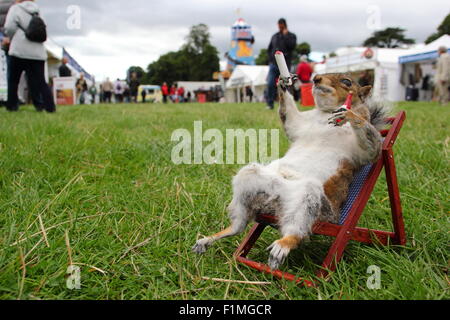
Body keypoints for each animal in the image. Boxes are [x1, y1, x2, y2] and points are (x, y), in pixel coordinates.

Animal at [192, 72, 388, 270]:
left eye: (347, 81)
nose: (316, 78)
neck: (325, 113)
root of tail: (274, 203)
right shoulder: (300, 124)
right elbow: (291, 119)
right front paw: (282, 83)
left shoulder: (360, 150)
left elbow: (373, 148)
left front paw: (348, 114)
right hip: (251, 180)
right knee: (240, 224)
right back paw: (212, 238)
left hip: (311, 201)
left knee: (297, 229)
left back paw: (284, 244)